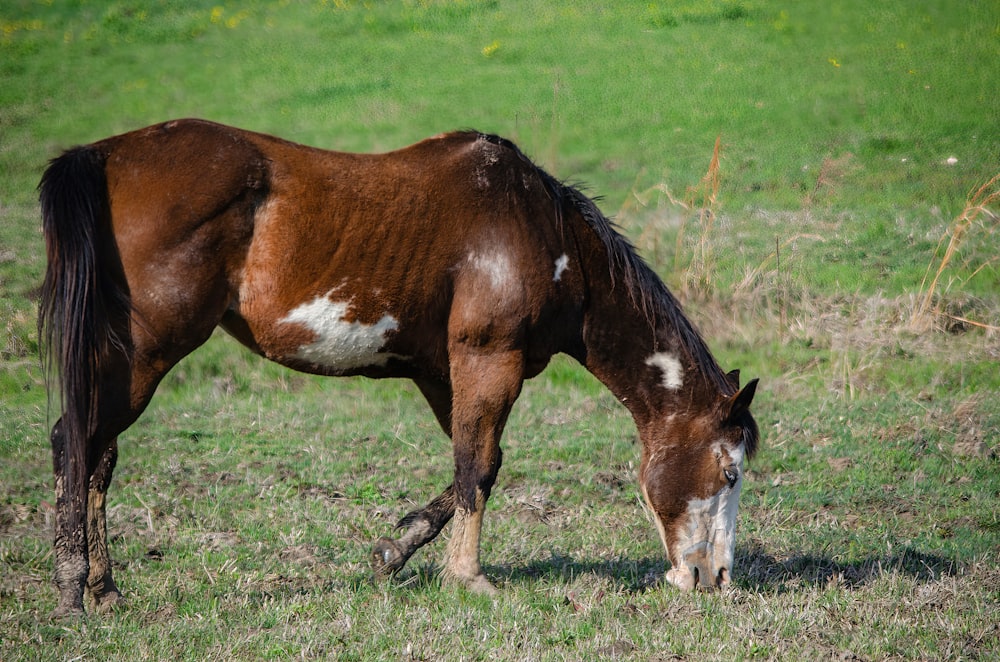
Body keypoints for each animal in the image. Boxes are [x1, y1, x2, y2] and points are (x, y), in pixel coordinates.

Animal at [39, 118, 756, 616]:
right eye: (729, 472)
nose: (717, 578)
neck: (544, 234)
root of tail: (105, 156)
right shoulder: (488, 361)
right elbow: (478, 468)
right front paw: (467, 578)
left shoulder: (444, 374)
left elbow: (473, 466)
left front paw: (395, 551)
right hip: (144, 352)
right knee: (77, 442)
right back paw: (74, 588)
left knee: (97, 455)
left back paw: (104, 588)